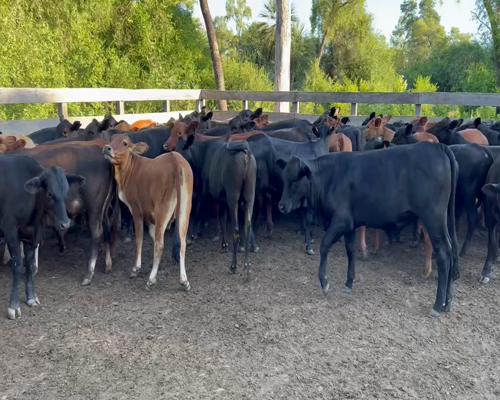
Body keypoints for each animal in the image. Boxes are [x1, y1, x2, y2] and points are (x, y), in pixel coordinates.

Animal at [0, 155, 85, 320]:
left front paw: (31, 297)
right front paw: (14, 306)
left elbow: (30, 264)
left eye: (66, 192)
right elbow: (18, 266)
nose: (65, 224)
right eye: (50, 194)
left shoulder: (30, 237)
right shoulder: (11, 232)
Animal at [103, 134, 193, 290]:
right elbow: (151, 235)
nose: (107, 148)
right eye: (111, 139)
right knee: (182, 243)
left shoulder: (137, 212)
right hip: (185, 209)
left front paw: (136, 269)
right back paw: (184, 281)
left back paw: (151, 280)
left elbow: (139, 240)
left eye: (125, 143)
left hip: (163, 209)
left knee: (160, 244)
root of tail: (174, 158)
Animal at [276, 142, 458, 318]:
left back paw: (437, 305)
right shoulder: (349, 225)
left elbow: (324, 246)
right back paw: (447, 302)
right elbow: (350, 251)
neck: (330, 178)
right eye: (283, 177)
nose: (281, 206)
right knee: (450, 251)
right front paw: (349, 283)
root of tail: (438, 147)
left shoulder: (340, 221)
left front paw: (324, 282)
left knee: (443, 254)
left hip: (433, 219)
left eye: (295, 179)